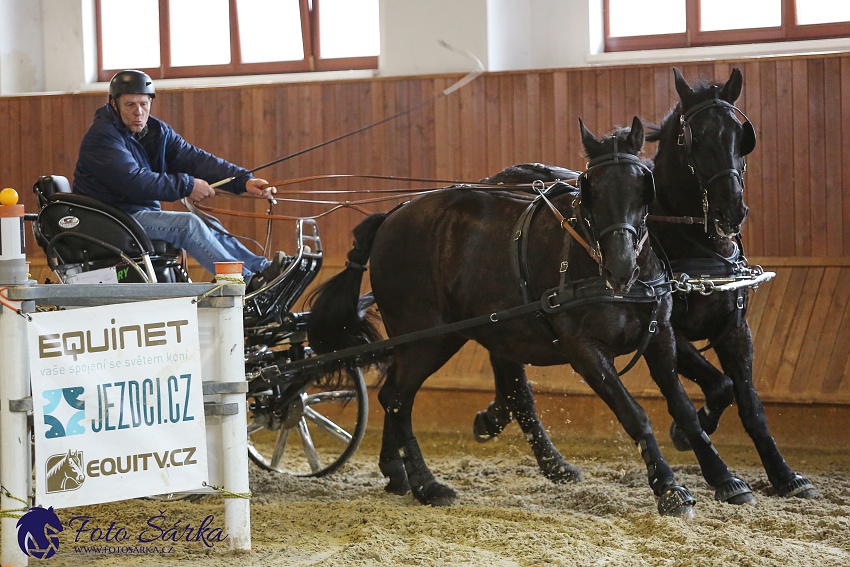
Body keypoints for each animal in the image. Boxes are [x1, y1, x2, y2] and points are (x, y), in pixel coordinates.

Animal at [308, 117, 744, 516]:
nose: (620, 269)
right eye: (591, 189)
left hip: (431, 338)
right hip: (428, 338)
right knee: (397, 398)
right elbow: (633, 414)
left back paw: (397, 473)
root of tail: (390, 216)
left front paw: (725, 479)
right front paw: (669, 488)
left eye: (643, 187)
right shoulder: (585, 351)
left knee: (395, 395)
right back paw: (427, 486)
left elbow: (684, 407)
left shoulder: (661, 336)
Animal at [474, 67, 812, 502]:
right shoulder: (669, 332)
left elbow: (748, 403)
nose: (731, 209)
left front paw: (785, 475)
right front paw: (688, 434)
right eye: (694, 138)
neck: (694, 242)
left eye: (742, 135)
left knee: (508, 367)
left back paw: (494, 418)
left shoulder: (735, 328)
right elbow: (720, 386)